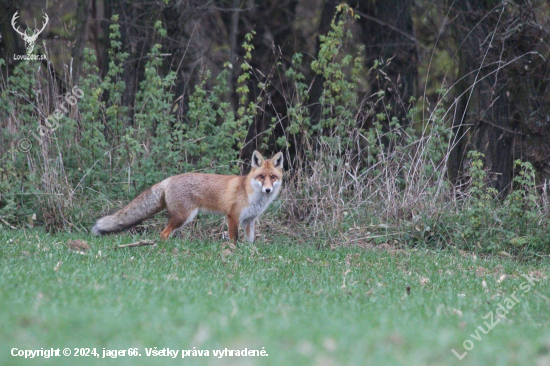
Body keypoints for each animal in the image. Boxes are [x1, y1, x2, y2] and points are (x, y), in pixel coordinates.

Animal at [91, 152, 284, 243]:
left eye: (273, 177)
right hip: (184, 217)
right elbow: (234, 240)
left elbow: (251, 242)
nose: (268, 190)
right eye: (261, 177)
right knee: (163, 234)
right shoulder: (233, 217)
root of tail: (168, 179)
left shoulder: (249, 221)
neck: (251, 194)